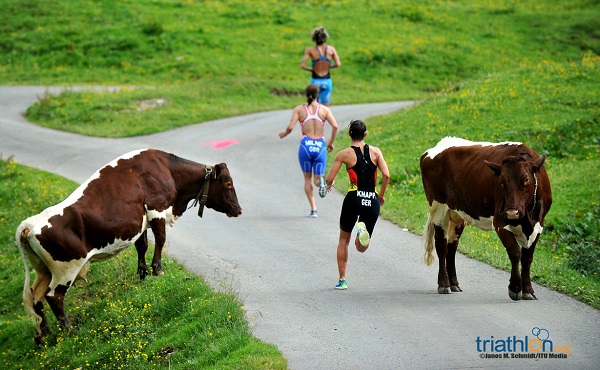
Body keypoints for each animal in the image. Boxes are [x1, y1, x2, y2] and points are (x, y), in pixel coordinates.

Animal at [14, 149, 239, 342]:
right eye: (228, 184)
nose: (239, 210)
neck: (167, 169)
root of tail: (31, 223)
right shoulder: (156, 208)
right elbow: (160, 240)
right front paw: (158, 270)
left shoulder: (141, 222)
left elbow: (143, 246)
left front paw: (143, 273)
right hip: (66, 269)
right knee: (54, 297)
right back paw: (69, 330)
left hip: (43, 270)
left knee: (36, 298)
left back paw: (45, 334)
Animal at [420, 137, 552, 302]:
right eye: (501, 182)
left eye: (526, 180)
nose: (512, 212)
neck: (527, 218)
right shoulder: (500, 223)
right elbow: (515, 253)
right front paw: (515, 289)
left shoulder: (539, 225)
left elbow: (527, 258)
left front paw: (528, 290)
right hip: (438, 207)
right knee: (441, 245)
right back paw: (444, 285)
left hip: (457, 214)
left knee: (452, 246)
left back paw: (454, 283)